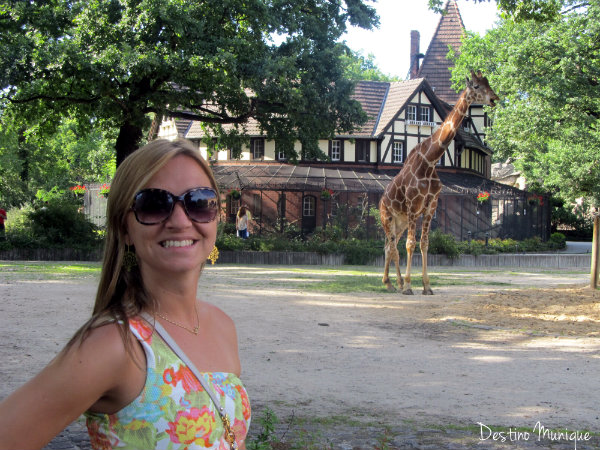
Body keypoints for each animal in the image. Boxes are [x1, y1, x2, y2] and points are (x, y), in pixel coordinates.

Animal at [380, 70, 502, 294]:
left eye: (488, 84)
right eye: (476, 86)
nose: (494, 98)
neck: (430, 161)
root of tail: (381, 201)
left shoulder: (430, 205)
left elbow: (424, 243)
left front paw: (426, 286)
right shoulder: (413, 205)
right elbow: (410, 244)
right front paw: (410, 285)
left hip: (400, 223)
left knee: (388, 247)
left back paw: (392, 283)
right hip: (388, 218)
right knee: (392, 247)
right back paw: (395, 283)